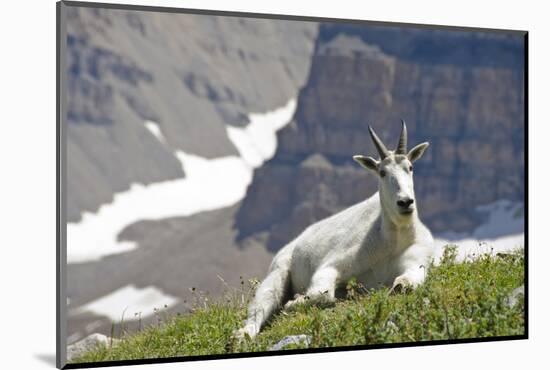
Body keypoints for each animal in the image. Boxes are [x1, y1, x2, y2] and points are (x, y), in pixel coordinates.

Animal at [236, 121, 436, 338]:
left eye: (410, 167)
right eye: (382, 172)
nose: (405, 202)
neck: (393, 238)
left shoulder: (417, 261)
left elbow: (406, 283)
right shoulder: (335, 263)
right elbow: (321, 294)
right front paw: (294, 302)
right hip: (279, 269)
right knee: (262, 304)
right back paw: (243, 334)